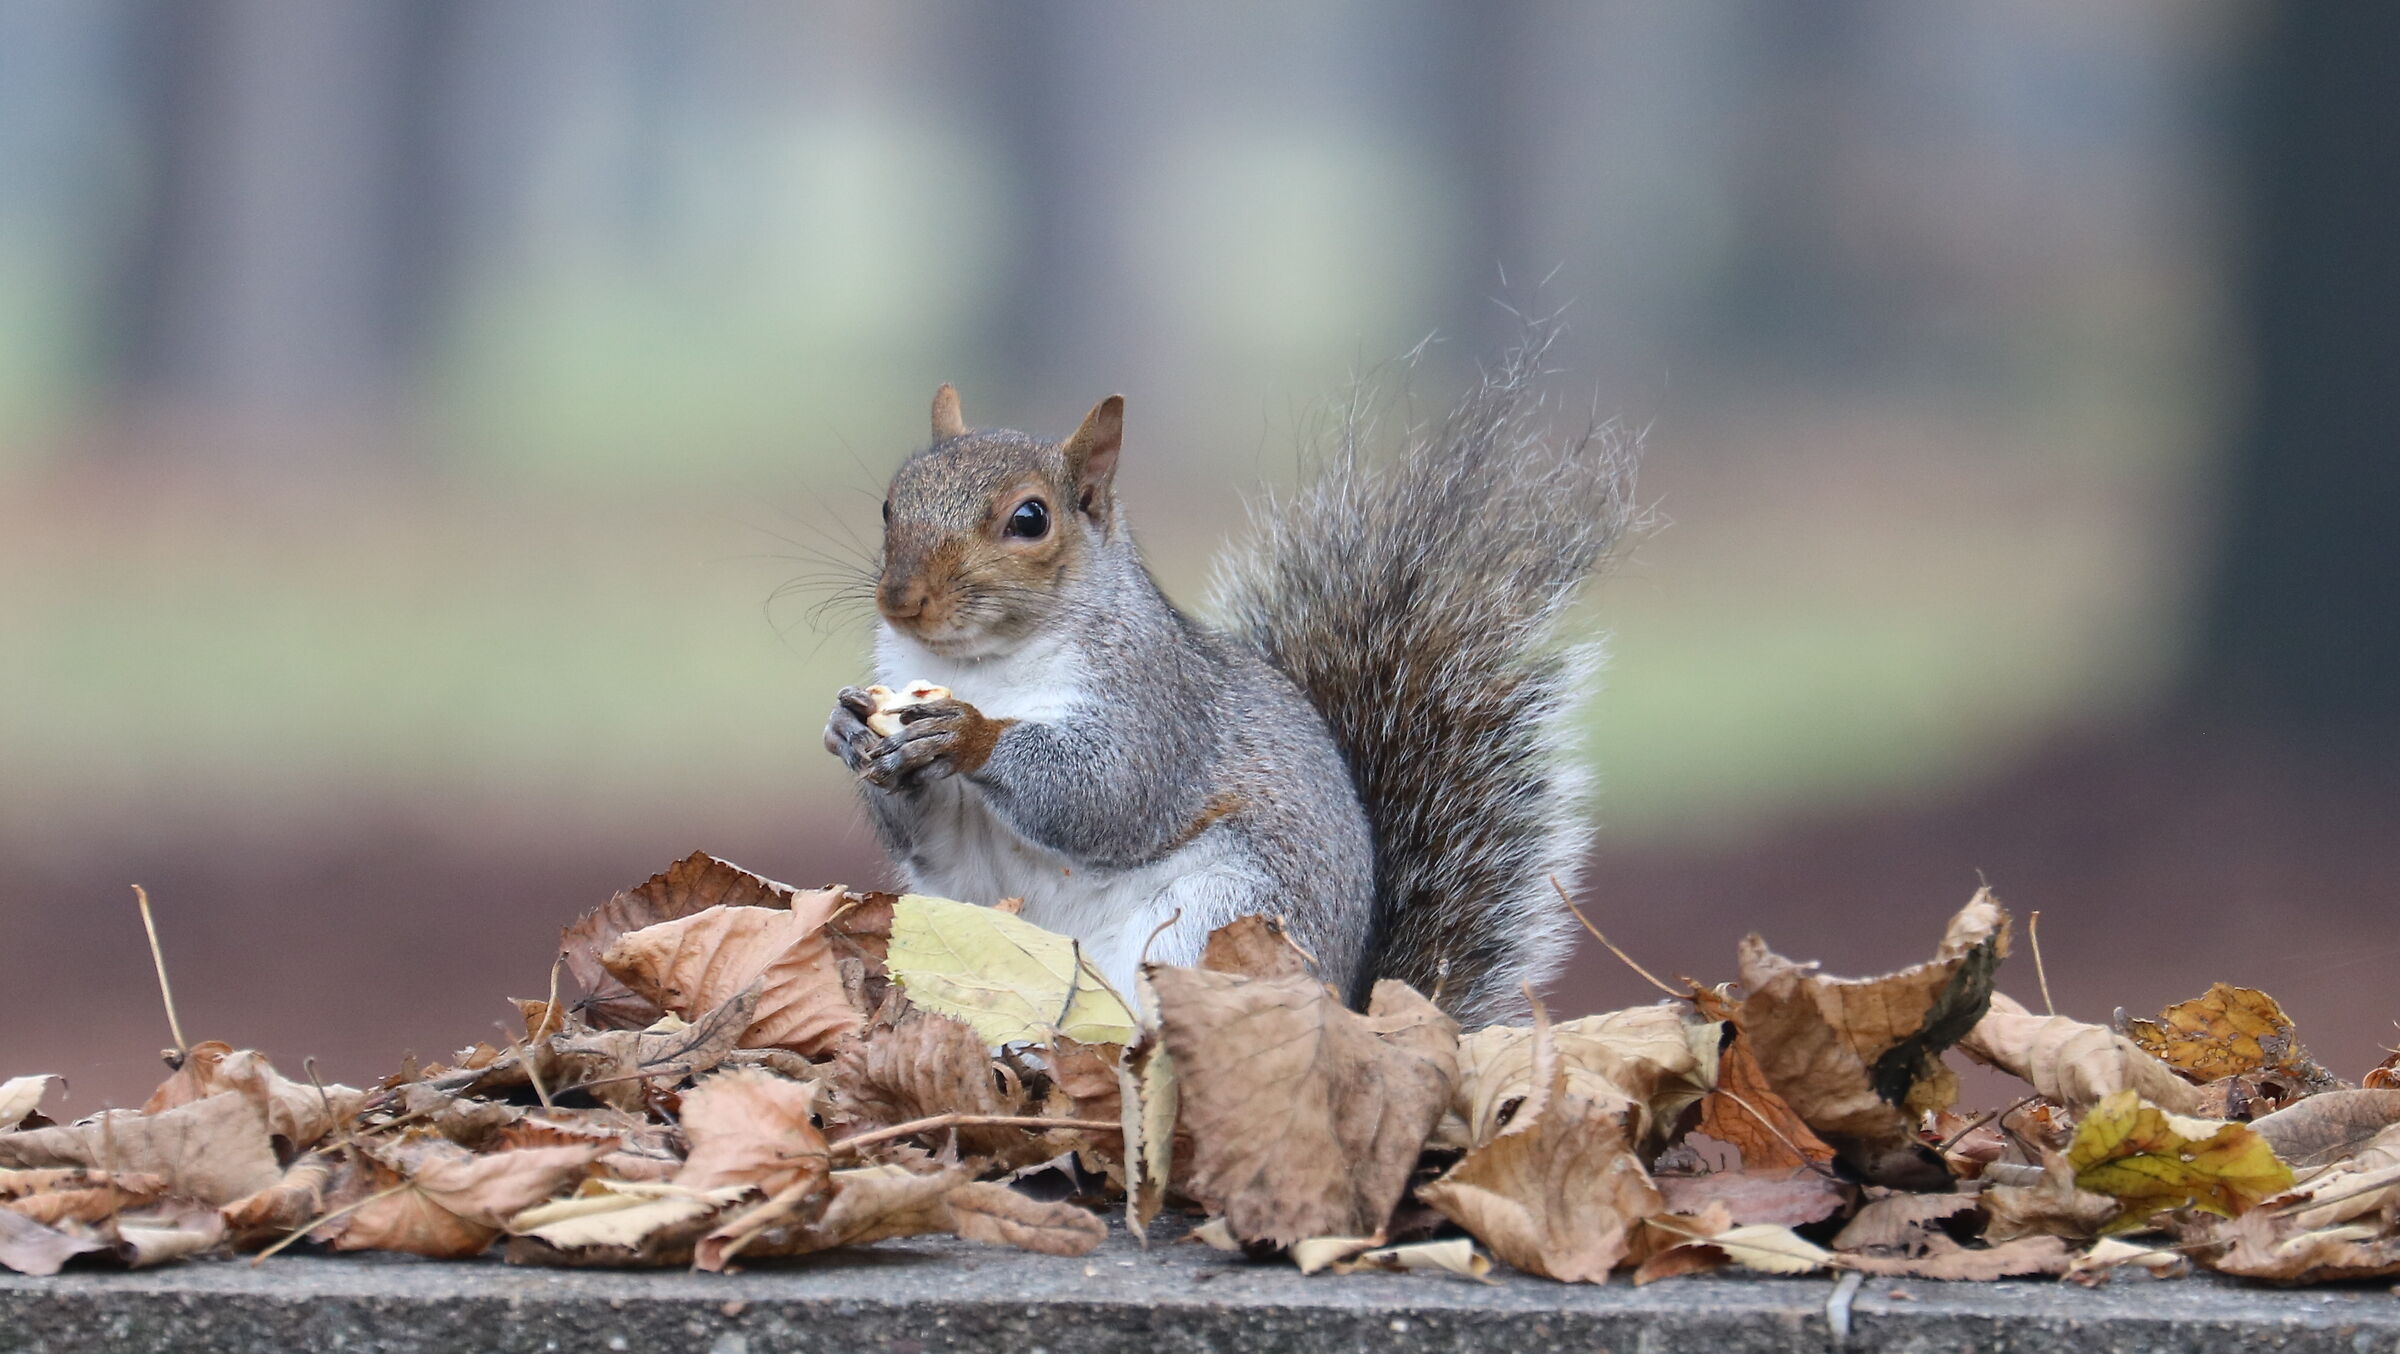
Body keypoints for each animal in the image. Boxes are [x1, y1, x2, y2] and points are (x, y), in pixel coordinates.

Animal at [822, 344, 1639, 1027]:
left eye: (1030, 518)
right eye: (891, 503)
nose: (900, 599)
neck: (979, 666)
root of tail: (1348, 1007)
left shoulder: (1158, 704)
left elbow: (1112, 794)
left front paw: (969, 734)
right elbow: (935, 839)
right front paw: (848, 730)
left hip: (1218, 918)